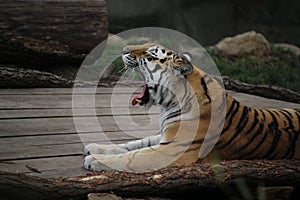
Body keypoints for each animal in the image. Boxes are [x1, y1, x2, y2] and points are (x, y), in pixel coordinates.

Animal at [83, 42, 300, 172]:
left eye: (151, 54)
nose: (123, 50)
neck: (169, 103)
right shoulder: (166, 136)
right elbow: (134, 144)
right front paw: (94, 147)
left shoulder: (170, 151)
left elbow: (131, 156)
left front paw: (94, 160)